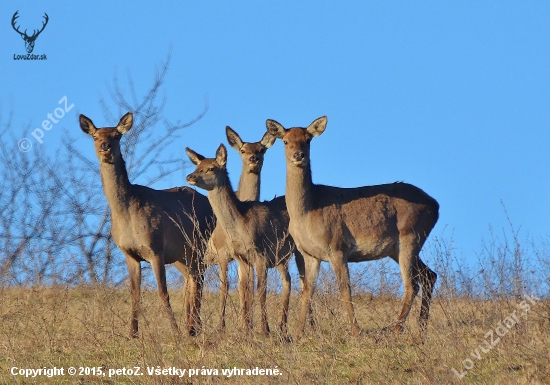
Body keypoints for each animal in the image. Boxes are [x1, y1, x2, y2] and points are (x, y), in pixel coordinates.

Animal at [80, 111, 213, 336]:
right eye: (95, 136)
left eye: (117, 136)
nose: (105, 147)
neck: (126, 215)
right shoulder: (129, 253)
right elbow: (135, 293)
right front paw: (132, 333)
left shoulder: (155, 248)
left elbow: (163, 292)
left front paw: (175, 332)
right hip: (181, 255)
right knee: (192, 280)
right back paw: (192, 327)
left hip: (199, 244)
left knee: (199, 279)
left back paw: (191, 327)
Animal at [187, 144, 298, 336]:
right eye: (197, 166)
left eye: (211, 168)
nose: (190, 176)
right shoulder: (241, 258)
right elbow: (243, 288)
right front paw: (245, 330)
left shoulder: (260, 255)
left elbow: (259, 289)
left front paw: (263, 330)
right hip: (281, 258)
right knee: (289, 281)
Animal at [268, 115, 440, 338]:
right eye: (285, 141)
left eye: (308, 140)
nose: (299, 155)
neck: (307, 212)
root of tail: (435, 206)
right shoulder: (310, 254)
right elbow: (307, 291)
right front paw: (297, 334)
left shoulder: (338, 247)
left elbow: (345, 290)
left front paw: (355, 331)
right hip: (399, 248)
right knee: (429, 275)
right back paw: (421, 329)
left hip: (410, 237)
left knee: (412, 284)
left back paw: (396, 329)